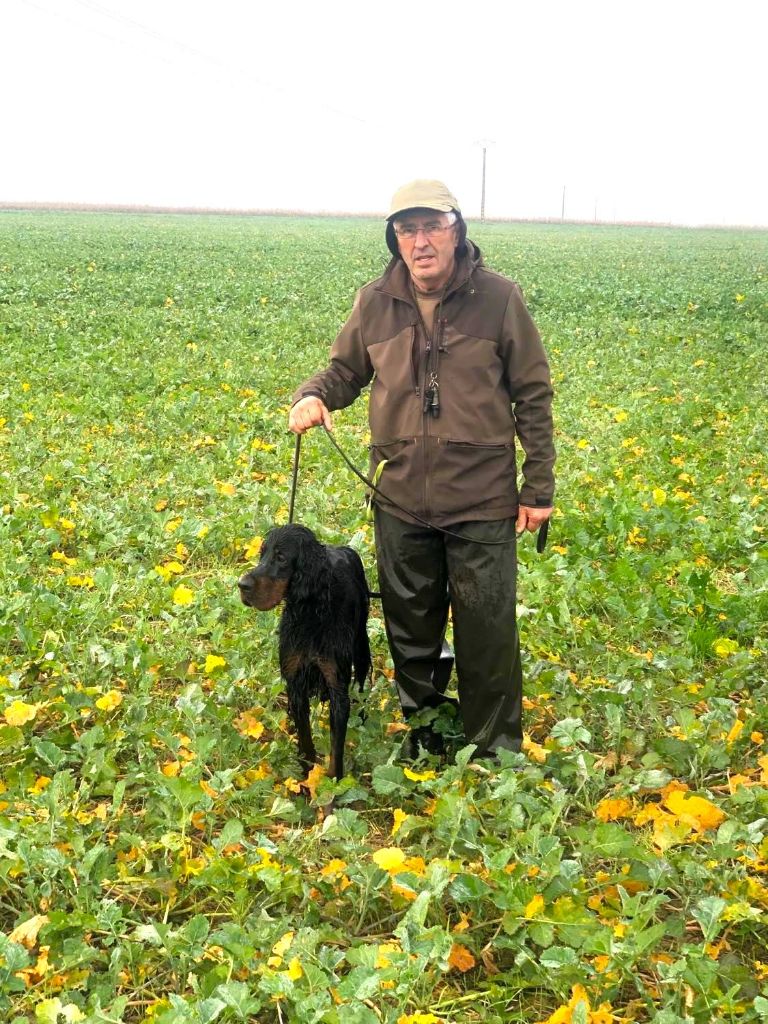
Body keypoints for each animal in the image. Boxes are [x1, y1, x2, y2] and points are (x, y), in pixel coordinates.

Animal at [239, 524, 374, 778]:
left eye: (281, 557)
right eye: (262, 553)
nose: (242, 585)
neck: (310, 613)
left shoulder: (336, 684)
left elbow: (336, 746)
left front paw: (334, 782)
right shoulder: (295, 680)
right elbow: (305, 736)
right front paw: (306, 776)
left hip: (361, 644)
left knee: (361, 685)